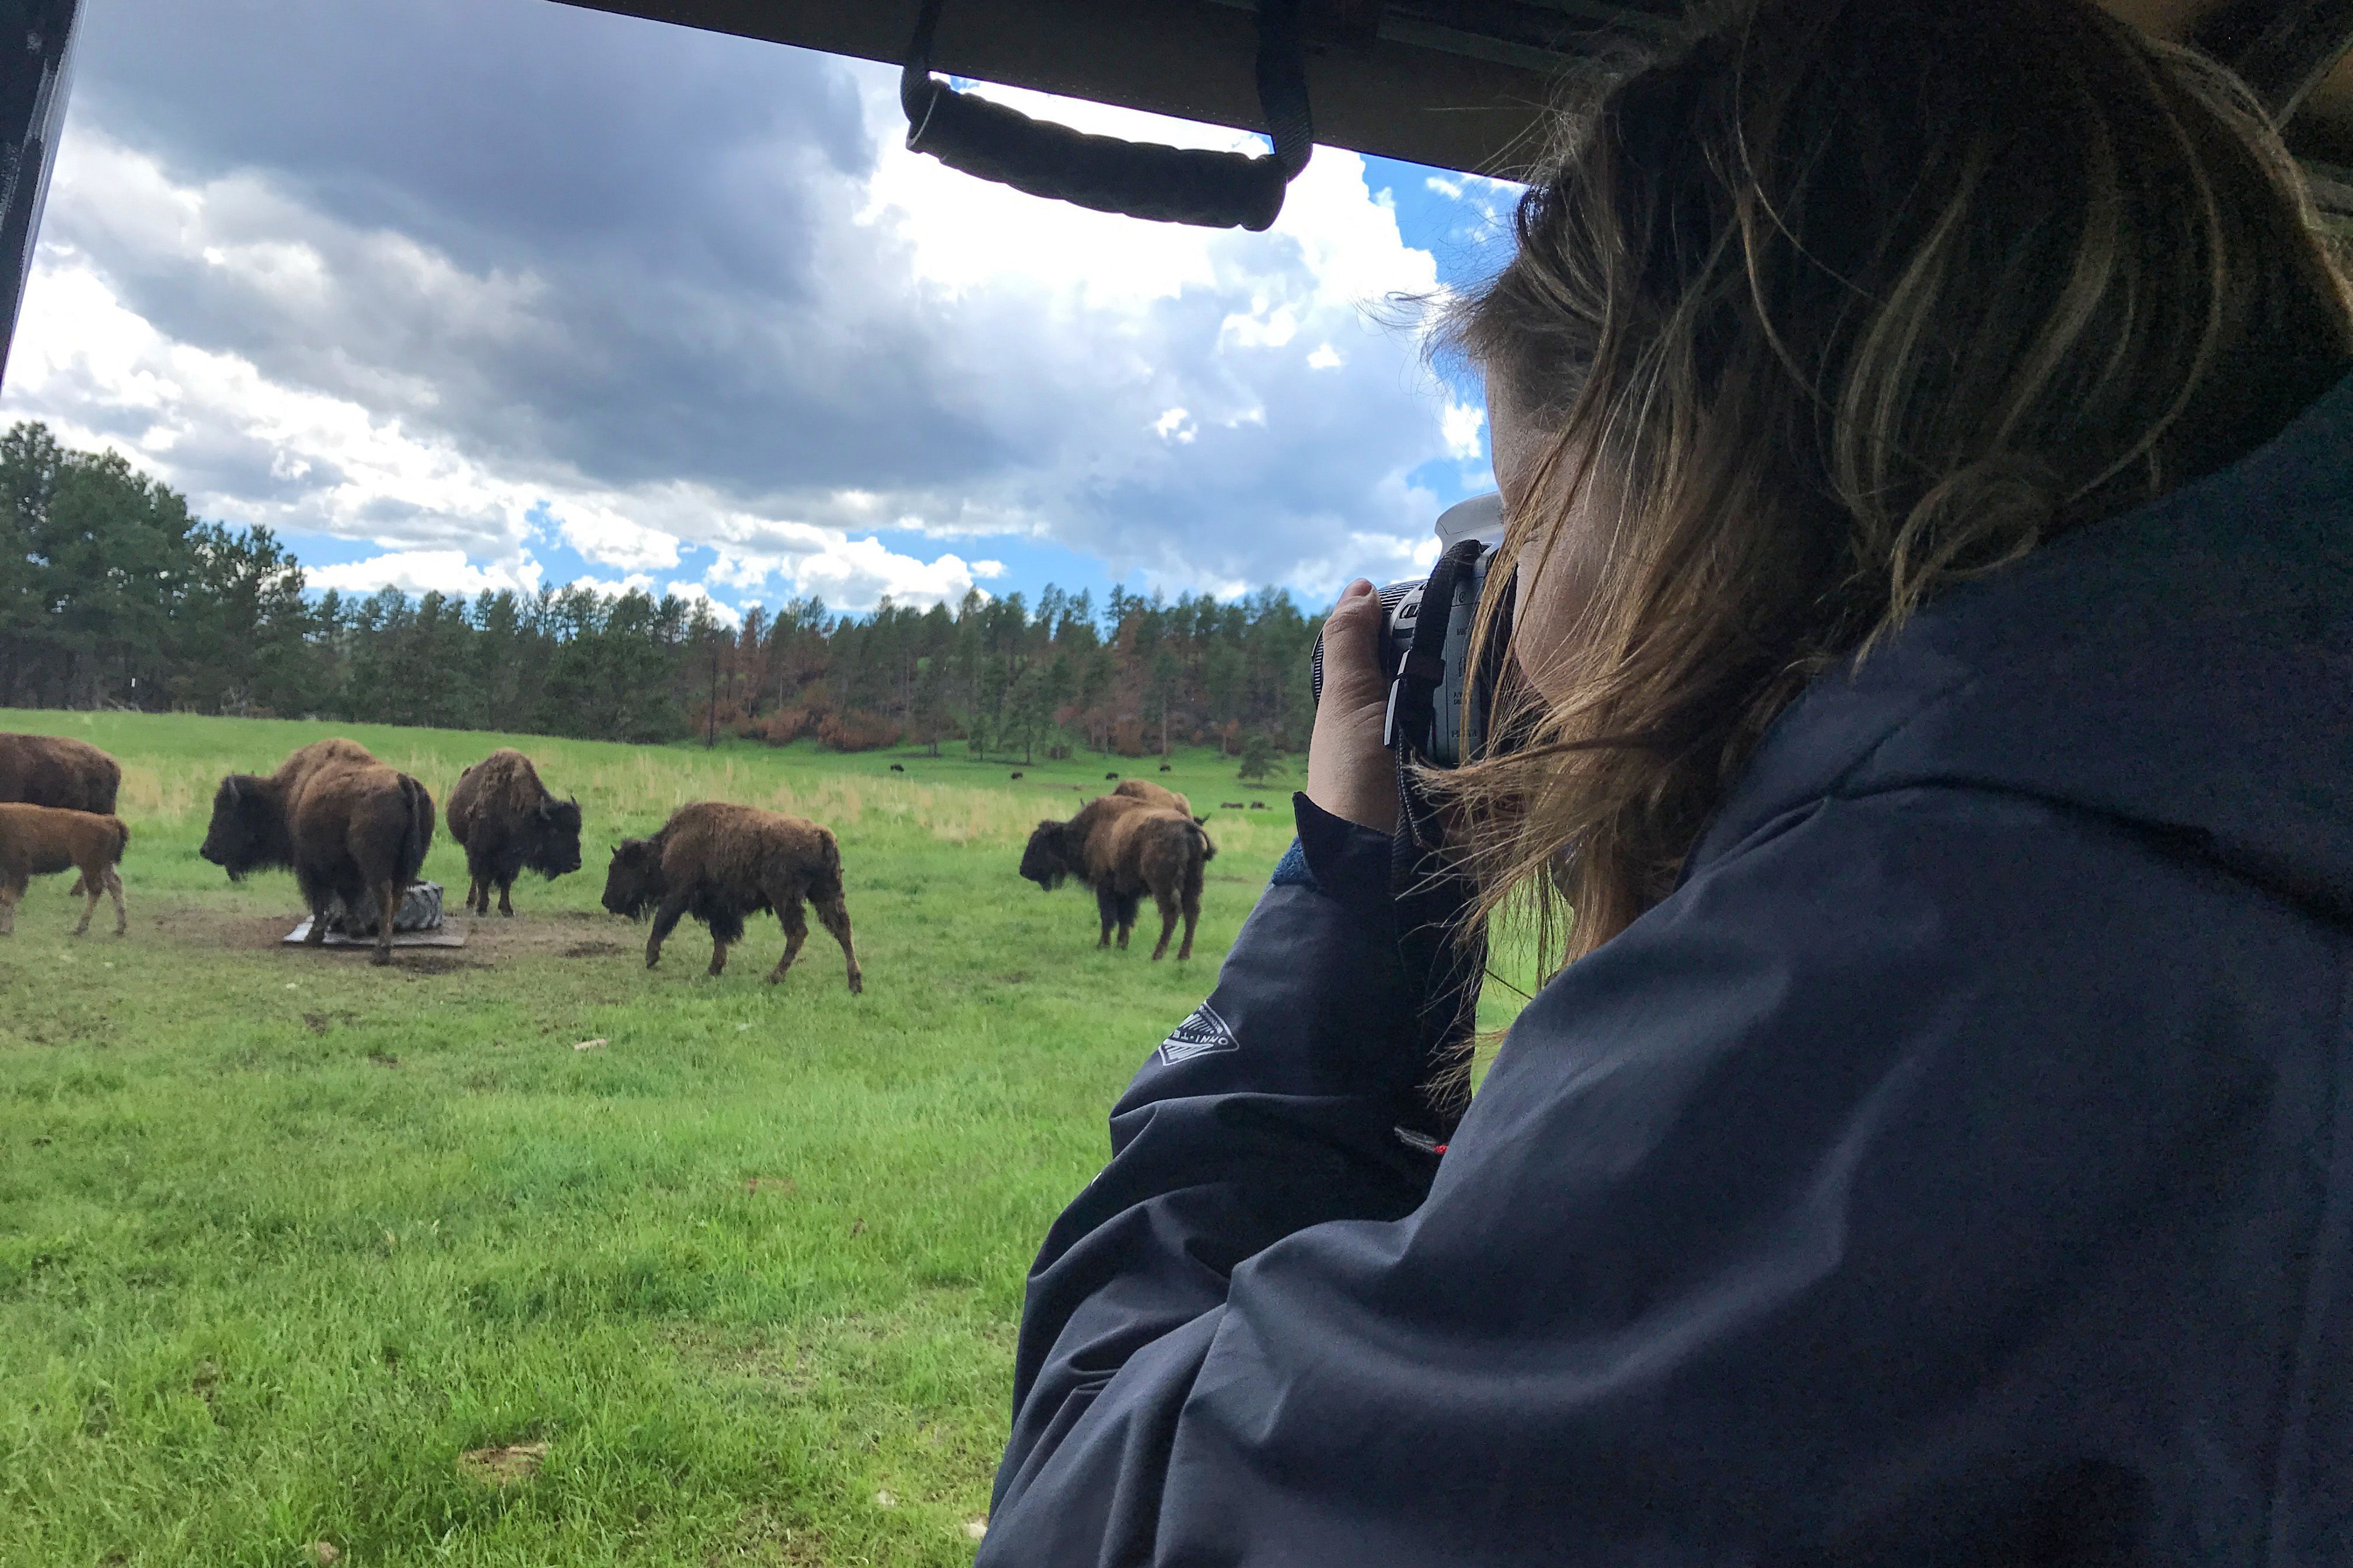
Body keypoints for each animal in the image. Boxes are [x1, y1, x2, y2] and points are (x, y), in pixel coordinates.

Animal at [0, 800, 127, 932]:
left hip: (91, 866)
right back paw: (119, 929)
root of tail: (108, 820)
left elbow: (8, 899)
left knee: (96, 889)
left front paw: (5, 929)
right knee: (115, 885)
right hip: (104, 866)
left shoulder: (17, 870)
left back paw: (80, 929)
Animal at [200, 734, 435, 965]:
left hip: (375, 865)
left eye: (226, 811)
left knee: (384, 897)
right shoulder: (345, 867)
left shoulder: (309, 866)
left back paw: (380, 954)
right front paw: (355, 929)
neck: (287, 793)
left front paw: (313, 936)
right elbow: (348, 896)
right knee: (396, 898)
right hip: (402, 867)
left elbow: (319, 900)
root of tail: (403, 782)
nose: (206, 850)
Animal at [445, 748, 583, 918]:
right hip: (469, 848)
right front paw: (481, 908)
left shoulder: (513, 858)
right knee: (474, 878)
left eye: (577, 830)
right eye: (554, 831)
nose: (576, 863)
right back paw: (471, 902)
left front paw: (507, 910)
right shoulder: (482, 851)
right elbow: (483, 879)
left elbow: (506, 881)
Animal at [607, 795, 865, 989]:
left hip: (785, 897)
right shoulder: (719, 906)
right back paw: (855, 983)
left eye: (619, 868)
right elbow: (719, 934)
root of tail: (822, 835)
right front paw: (715, 968)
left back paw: (774, 977)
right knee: (842, 930)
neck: (669, 844)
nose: (606, 901)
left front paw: (651, 958)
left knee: (798, 932)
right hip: (826, 893)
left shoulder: (680, 892)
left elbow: (663, 921)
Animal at [1021, 786, 1214, 961]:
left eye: (1038, 845)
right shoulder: (1127, 891)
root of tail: (1189, 827)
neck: (1090, 829)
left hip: (1163, 885)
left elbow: (1108, 916)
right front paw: (1122, 945)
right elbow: (1125, 918)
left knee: (1171, 912)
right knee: (1192, 912)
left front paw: (1103, 945)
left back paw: (1157, 954)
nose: (1023, 870)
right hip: (1194, 882)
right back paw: (1183, 956)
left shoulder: (1105, 886)